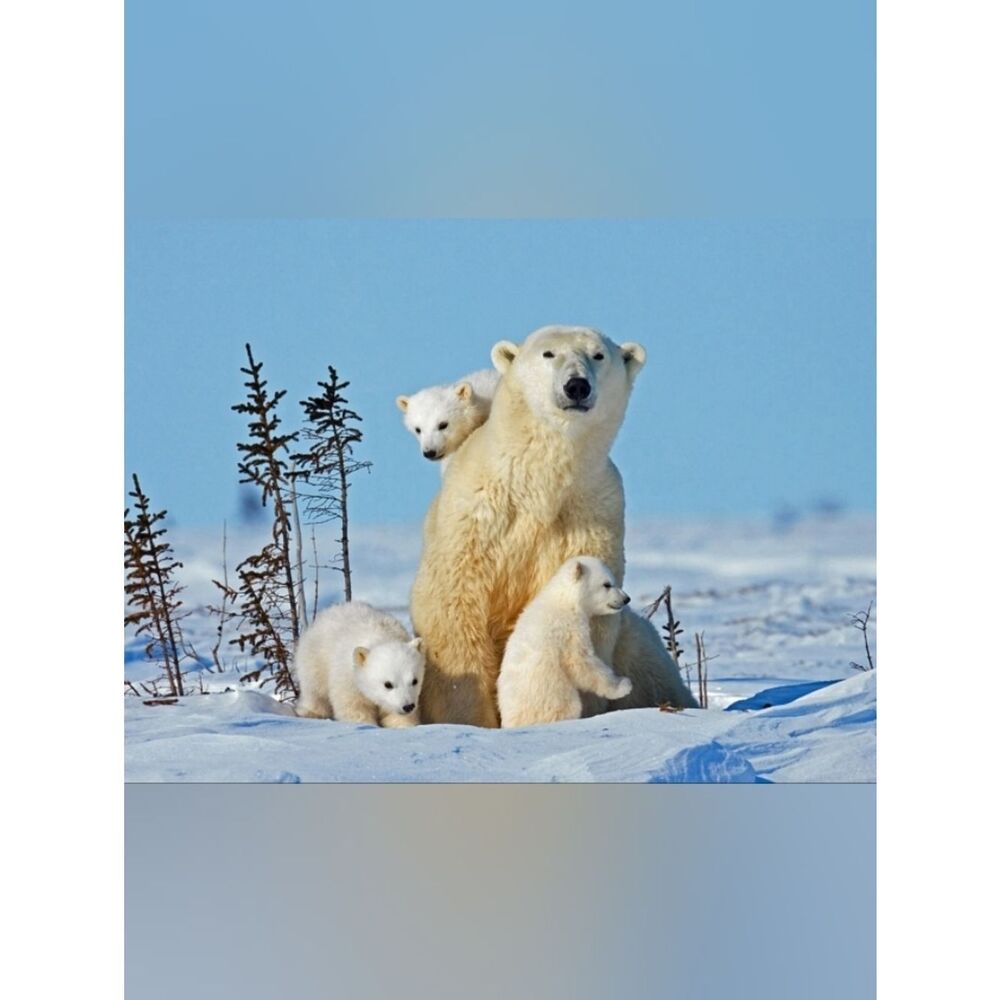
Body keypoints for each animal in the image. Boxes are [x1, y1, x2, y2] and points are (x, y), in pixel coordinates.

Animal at [293, 601, 425, 728]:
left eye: (415, 681)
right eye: (388, 684)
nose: (408, 706)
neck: (382, 638)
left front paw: (404, 725)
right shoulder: (348, 680)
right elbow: (354, 706)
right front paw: (364, 724)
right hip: (315, 659)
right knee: (315, 690)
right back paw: (310, 712)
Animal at [497, 557, 634, 728]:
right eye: (607, 584)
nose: (626, 599)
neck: (565, 600)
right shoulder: (569, 628)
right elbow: (580, 661)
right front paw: (623, 685)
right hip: (553, 697)